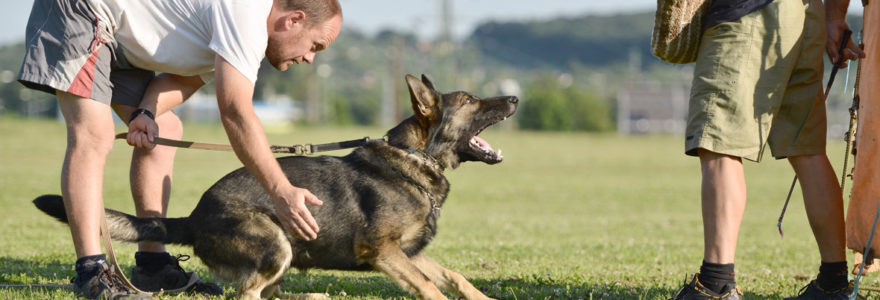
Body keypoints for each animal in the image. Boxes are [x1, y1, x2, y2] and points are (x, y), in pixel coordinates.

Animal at [34, 74, 516, 298]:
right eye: (470, 101)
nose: (513, 98)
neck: (413, 160)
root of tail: (195, 216)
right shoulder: (384, 251)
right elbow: (430, 287)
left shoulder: (409, 253)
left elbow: (453, 277)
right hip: (276, 243)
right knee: (249, 293)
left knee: (269, 292)